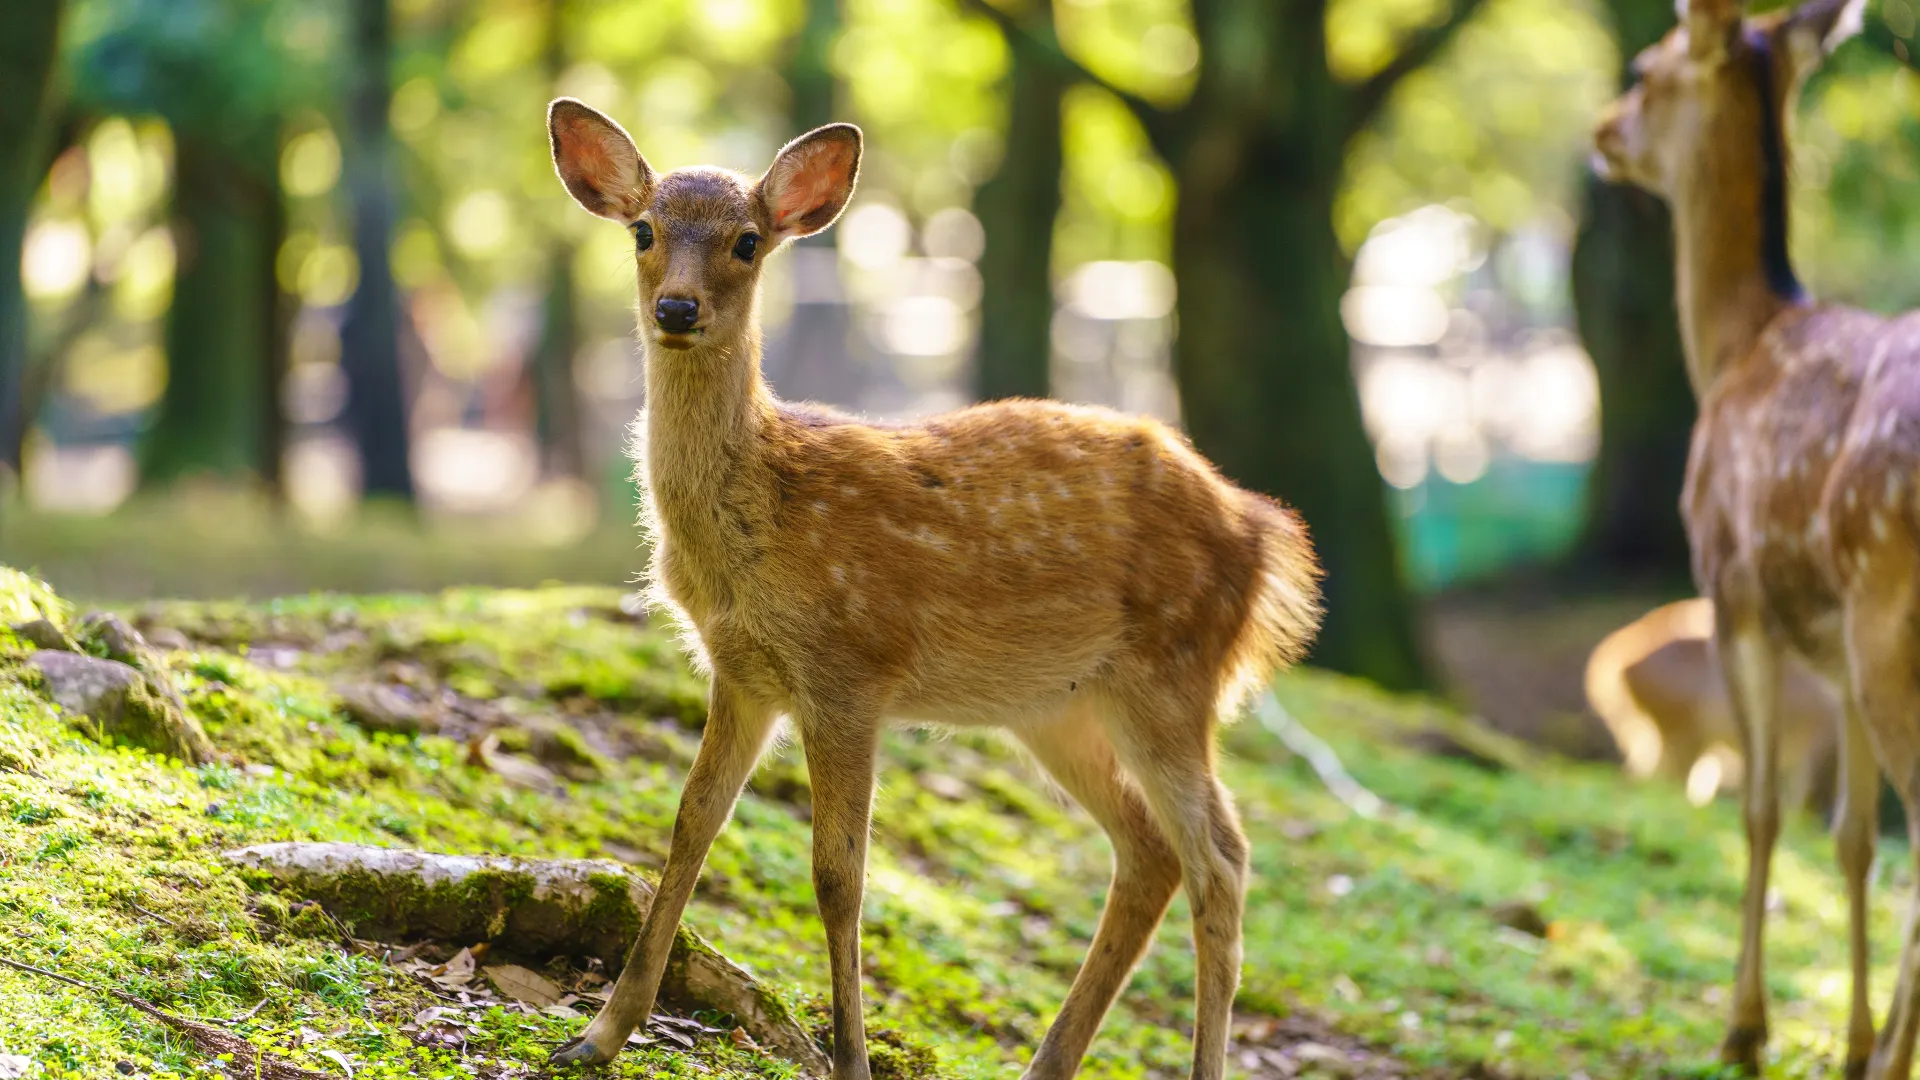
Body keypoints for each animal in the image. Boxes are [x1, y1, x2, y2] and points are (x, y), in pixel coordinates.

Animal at [537, 96, 1320, 1068]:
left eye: (748, 241)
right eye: (643, 230)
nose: (677, 308)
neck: (761, 518)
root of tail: (1266, 535)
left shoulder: (849, 669)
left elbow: (839, 875)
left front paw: (852, 1060)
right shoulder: (743, 671)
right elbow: (690, 827)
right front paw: (597, 1036)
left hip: (1172, 673)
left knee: (1222, 857)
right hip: (1058, 706)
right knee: (1151, 852)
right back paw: (1046, 1063)